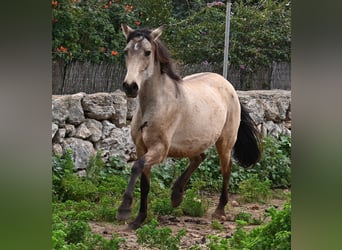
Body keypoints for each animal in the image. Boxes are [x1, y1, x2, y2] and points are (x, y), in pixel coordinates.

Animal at [117, 24, 262, 229]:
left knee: (226, 169)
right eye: (126, 51)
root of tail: (228, 86)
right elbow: (144, 184)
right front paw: (138, 219)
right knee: (199, 157)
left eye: (147, 52)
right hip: (193, 142)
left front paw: (124, 210)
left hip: (224, 143)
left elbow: (136, 167)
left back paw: (219, 210)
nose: (130, 87)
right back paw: (176, 195)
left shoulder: (159, 150)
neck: (153, 106)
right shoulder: (141, 148)